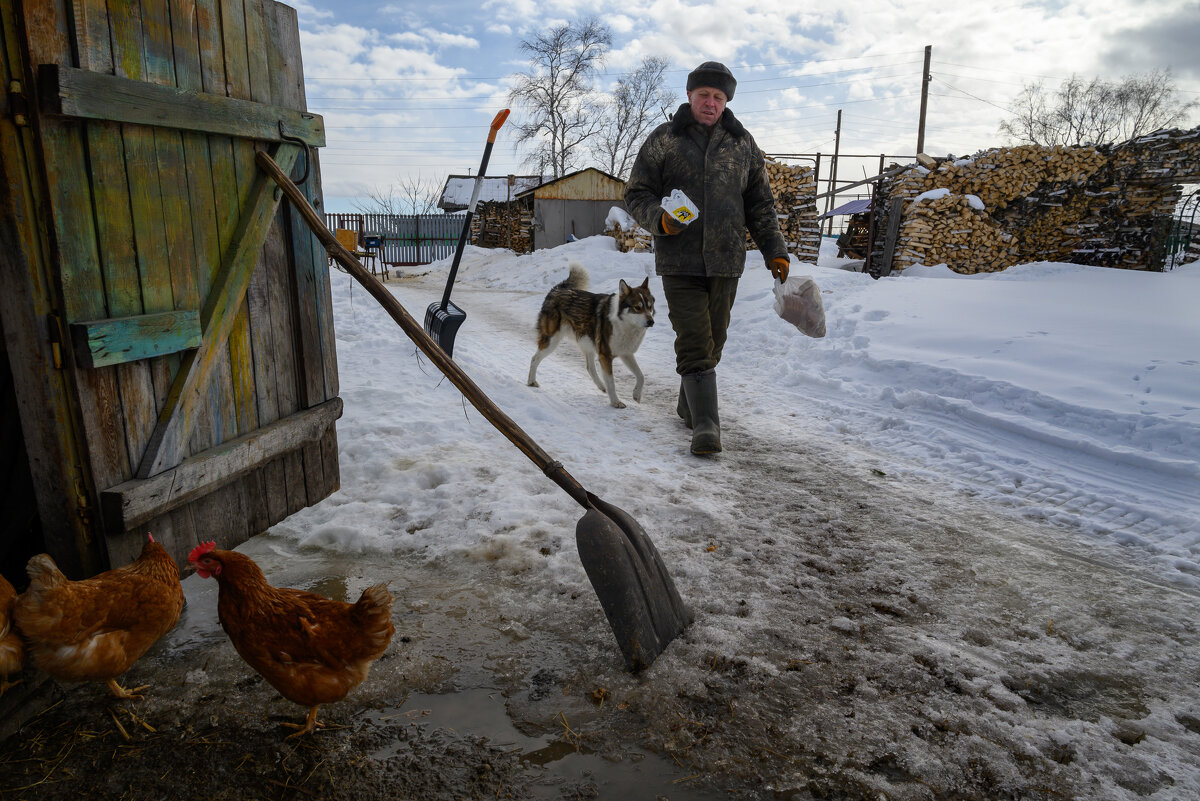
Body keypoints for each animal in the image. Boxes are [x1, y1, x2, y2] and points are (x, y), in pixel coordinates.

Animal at [525, 266, 657, 410]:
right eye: (637, 307)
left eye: (650, 306)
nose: (651, 322)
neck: (624, 323)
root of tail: (557, 288)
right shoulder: (605, 355)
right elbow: (612, 382)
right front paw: (615, 402)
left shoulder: (626, 353)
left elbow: (641, 376)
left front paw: (636, 394)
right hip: (552, 341)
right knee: (534, 358)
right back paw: (531, 381)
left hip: (587, 342)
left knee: (590, 367)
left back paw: (602, 386)